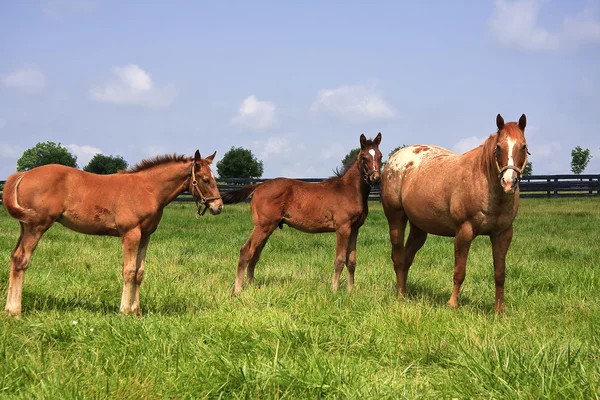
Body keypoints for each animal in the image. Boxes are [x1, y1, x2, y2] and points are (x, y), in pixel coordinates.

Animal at [3, 150, 224, 316]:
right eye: (205, 179)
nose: (218, 207)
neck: (147, 189)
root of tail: (22, 174)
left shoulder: (146, 235)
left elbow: (140, 272)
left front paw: (137, 311)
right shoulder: (131, 233)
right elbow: (129, 271)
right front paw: (124, 310)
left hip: (25, 225)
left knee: (14, 258)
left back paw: (8, 309)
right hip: (37, 226)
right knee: (22, 259)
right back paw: (15, 311)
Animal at [223, 133, 382, 296]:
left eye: (380, 156)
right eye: (364, 157)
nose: (375, 178)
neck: (349, 190)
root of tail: (260, 185)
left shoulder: (355, 229)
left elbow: (351, 261)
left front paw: (350, 291)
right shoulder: (342, 228)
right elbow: (339, 259)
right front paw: (334, 289)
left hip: (267, 228)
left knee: (255, 254)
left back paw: (252, 286)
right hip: (262, 226)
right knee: (246, 251)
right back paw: (237, 290)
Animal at [382, 114, 528, 314]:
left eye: (523, 146)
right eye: (499, 147)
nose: (509, 182)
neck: (483, 181)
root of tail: (393, 159)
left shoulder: (503, 235)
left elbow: (500, 274)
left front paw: (499, 311)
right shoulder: (464, 232)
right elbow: (459, 271)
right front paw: (452, 304)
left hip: (419, 228)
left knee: (406, 258)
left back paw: (404, 293)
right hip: (396, 218)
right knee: (397, 258)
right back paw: (400, 296)